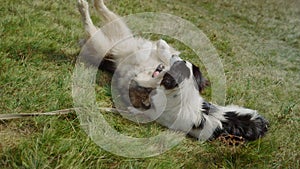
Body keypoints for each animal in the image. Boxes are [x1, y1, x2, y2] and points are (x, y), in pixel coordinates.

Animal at [77, 0, 268, 141]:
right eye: (185, 62)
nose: (176, 59)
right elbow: (164, 52)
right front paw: (162, 48)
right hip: (119, 36)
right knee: (104, 14)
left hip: (103, 42)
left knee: (91, 25)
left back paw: (84, 7)